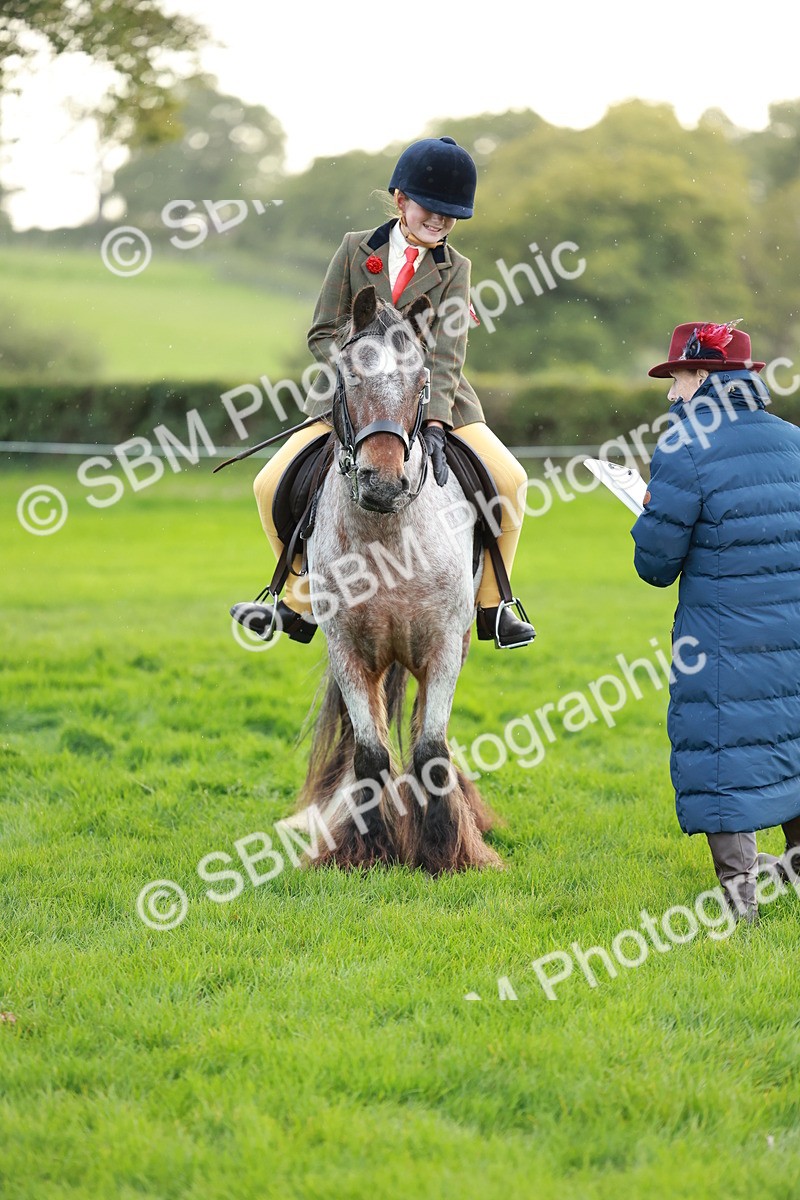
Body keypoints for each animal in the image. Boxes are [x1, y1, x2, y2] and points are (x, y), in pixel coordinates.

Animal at [286, 284, 502, 874]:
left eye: (422, 380)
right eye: (348, 377)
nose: (384, 483)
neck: (388, 536)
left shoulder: (444, 646)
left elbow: (430, 750)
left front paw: (444, 853)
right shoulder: (348, 650)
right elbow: (371, 753)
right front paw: (368, 849)